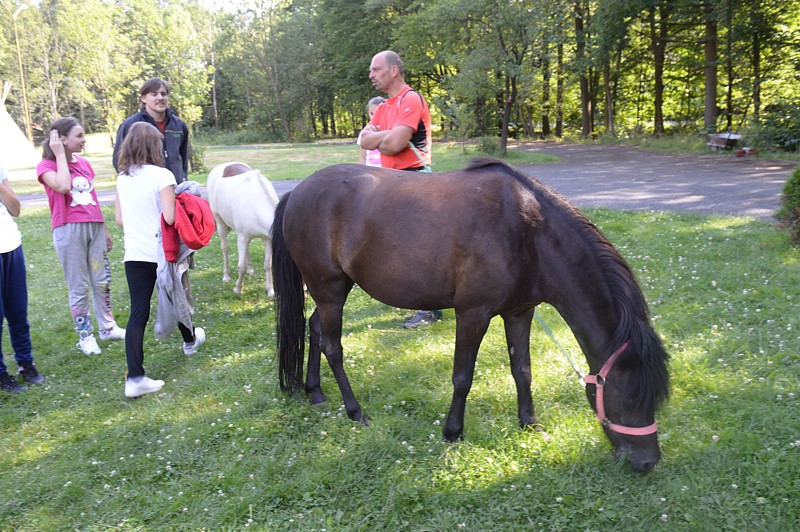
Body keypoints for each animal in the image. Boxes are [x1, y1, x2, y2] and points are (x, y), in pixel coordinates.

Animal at [208, 162, 280, 296]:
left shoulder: (267, 239)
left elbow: (268, 264)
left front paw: (270, 290)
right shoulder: (243, 237)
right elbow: (241, 266)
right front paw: (238, 288)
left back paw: (250, 270)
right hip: (220, 223)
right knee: (225, 248)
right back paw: (226, 276)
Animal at [274, 158, 668, 474]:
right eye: (627, 396)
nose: (647, 462)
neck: (526, 231)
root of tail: (297, 191)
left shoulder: (520, 313)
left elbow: (522, 370)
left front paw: (530, 424)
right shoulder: (472, 314)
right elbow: (462, 377)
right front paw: (452, 432)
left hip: (336, 288)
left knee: (314, 328)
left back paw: (315, 392)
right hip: (328, 287)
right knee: (333, 347)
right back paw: (355, 411)